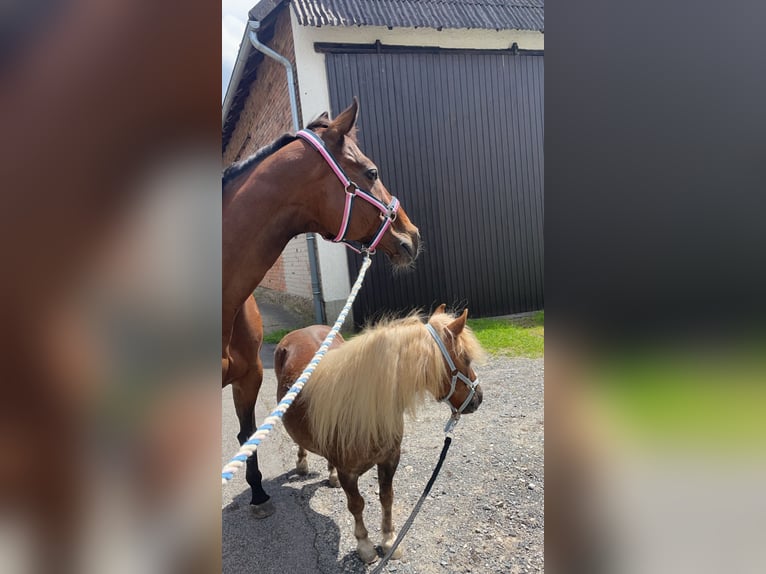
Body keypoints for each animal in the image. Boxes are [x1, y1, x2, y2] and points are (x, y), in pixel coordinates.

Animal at [276, 308, 486, 564]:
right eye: (465, 359)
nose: (478, 398)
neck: (364, 407)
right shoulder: (349, 473)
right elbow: (356, 505)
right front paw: (365, 546)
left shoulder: (390, 459)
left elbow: (387, 497)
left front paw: (389, 540)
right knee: (300, 444)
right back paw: (302, 463)